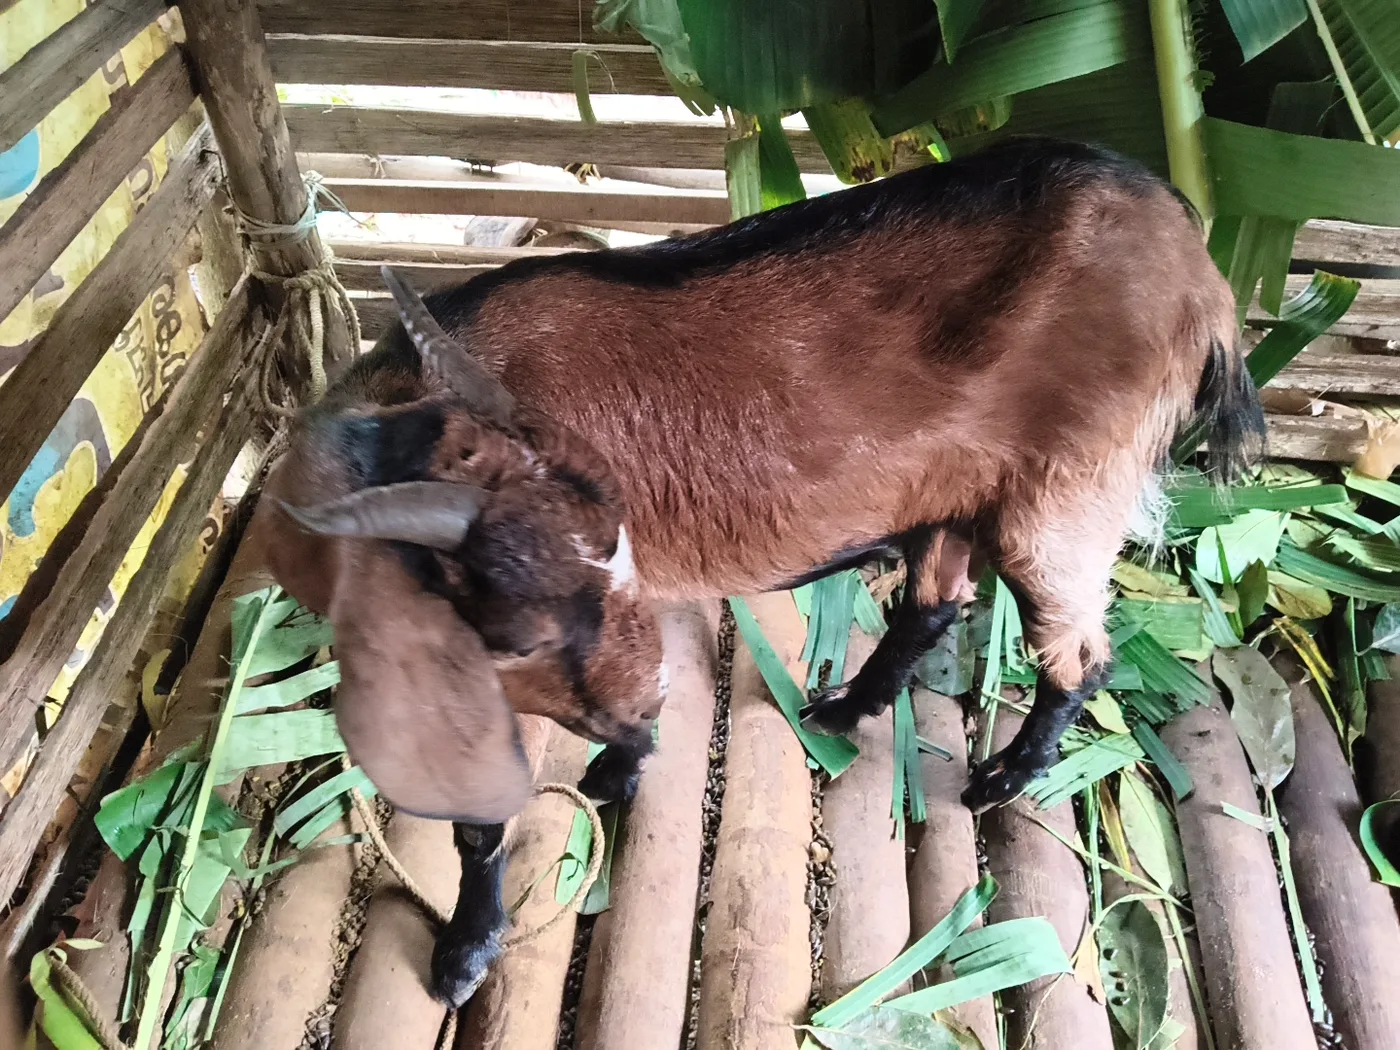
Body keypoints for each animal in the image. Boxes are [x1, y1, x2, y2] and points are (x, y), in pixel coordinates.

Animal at [263, 136, 1265, 1005]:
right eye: (512, 631)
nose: (637, 714)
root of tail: (1193, 260)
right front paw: (617, 773)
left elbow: (479, 827)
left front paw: (467, 953)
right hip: (955, 485)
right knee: (936, 602)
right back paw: (843, 710)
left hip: (1066, 492)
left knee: (1081, 652)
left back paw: (1003, 779)